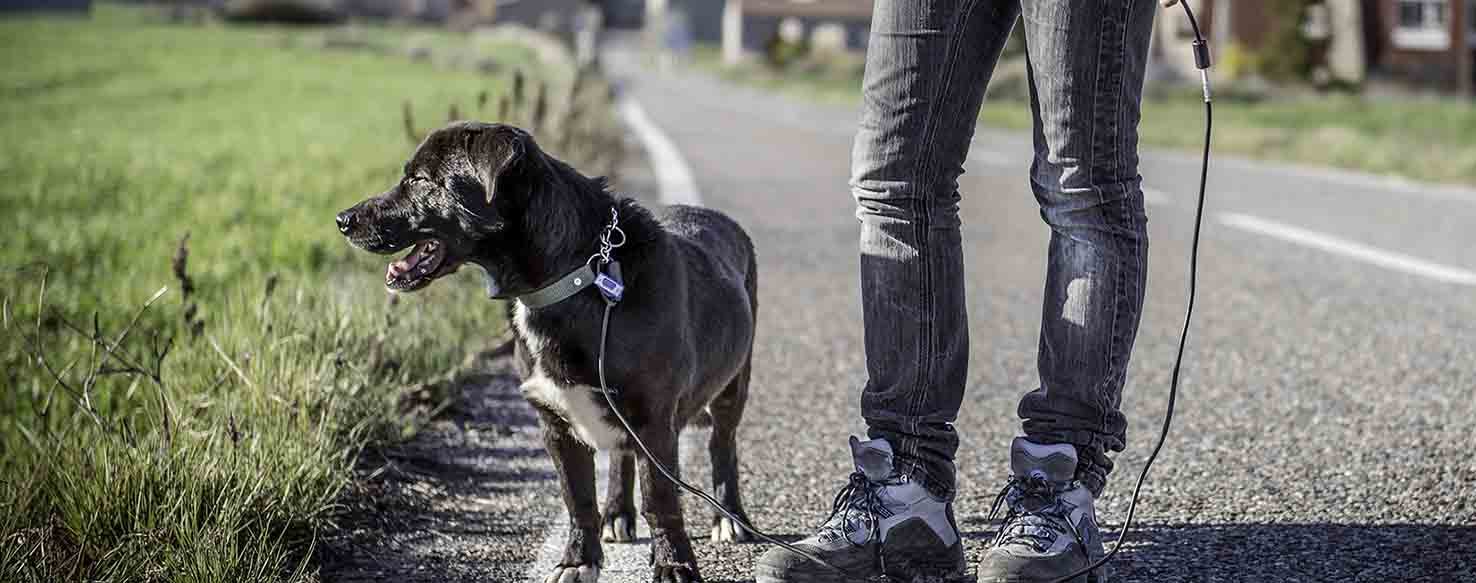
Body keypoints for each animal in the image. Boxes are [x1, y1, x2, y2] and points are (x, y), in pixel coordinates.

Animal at [338, 121, 761, 581]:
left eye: (419, 180)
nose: (343, 219)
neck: (578, 276)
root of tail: (718, 219)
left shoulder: (653, 421)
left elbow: (662, 501)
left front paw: (674, 565)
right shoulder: (556, 423)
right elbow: (577, 499)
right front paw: (579, 560)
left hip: (733, 385)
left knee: (722, 444)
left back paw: (730, 518)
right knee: (622, 456)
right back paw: (617, 512)